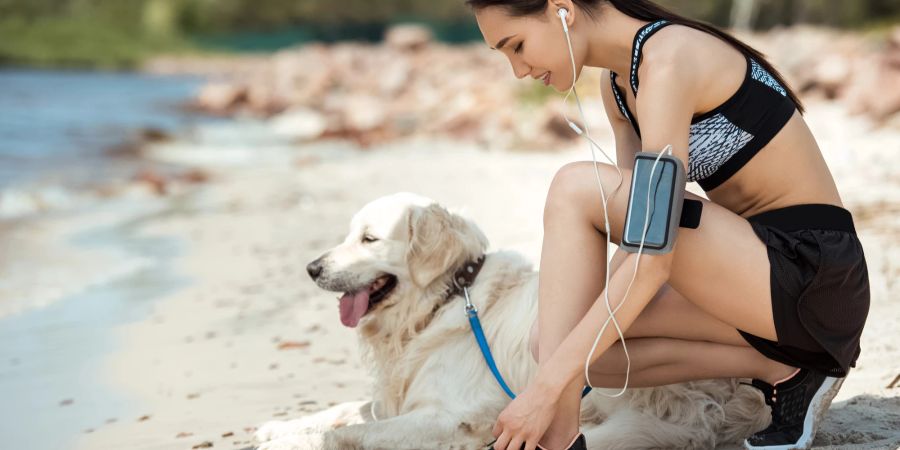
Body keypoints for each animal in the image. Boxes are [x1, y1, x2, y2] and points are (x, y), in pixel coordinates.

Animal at [253, 192, 768, 448]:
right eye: (349, 235)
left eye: (369, 239)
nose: (311, 268)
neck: (441, 302)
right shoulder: (396, 400)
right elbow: (341, 412)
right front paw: (277, 429)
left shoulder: (445, 415)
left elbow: (348, 434)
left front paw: (287, 443)